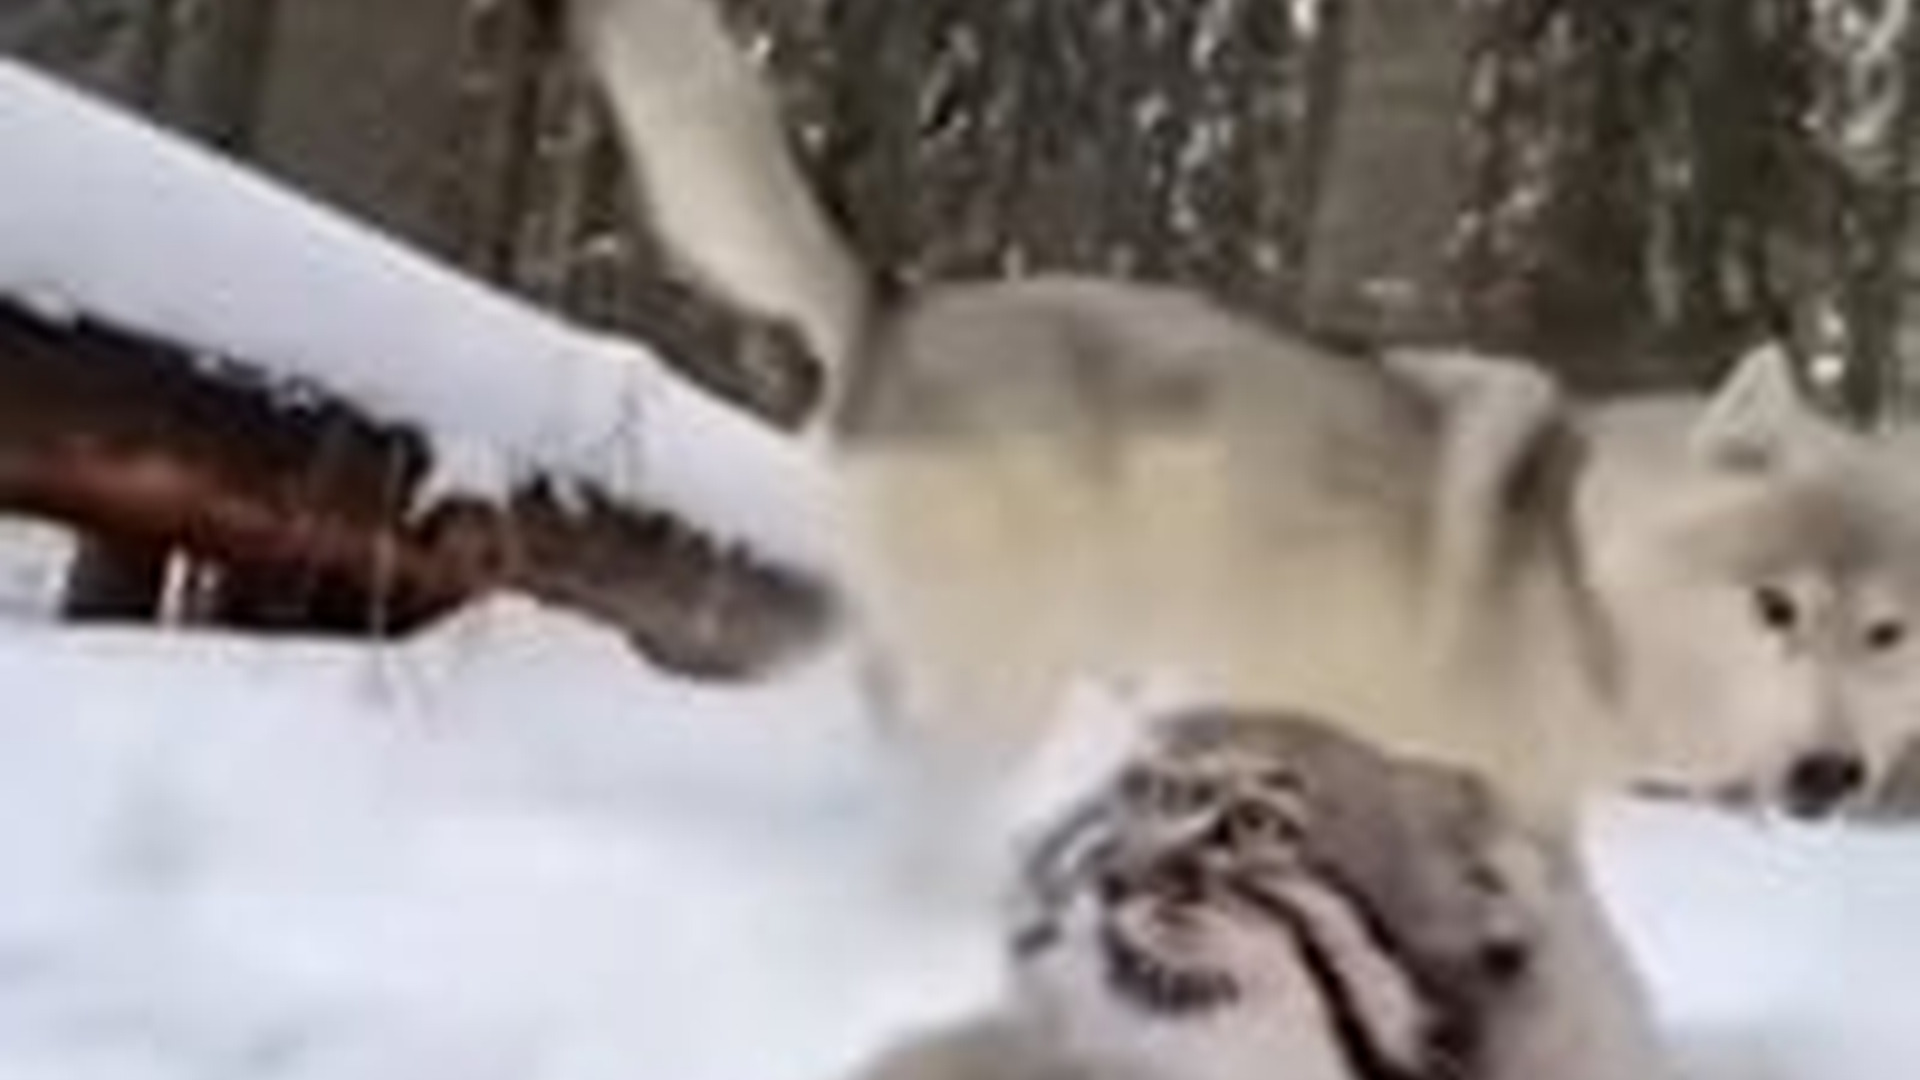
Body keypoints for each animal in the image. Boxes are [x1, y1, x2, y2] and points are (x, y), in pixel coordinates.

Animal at [567, 0, 1920, 821]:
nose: (1830, 774)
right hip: (1002, 677)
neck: (1580, 577)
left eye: (1886, 635)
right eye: (1775, 608)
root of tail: (894, 308)